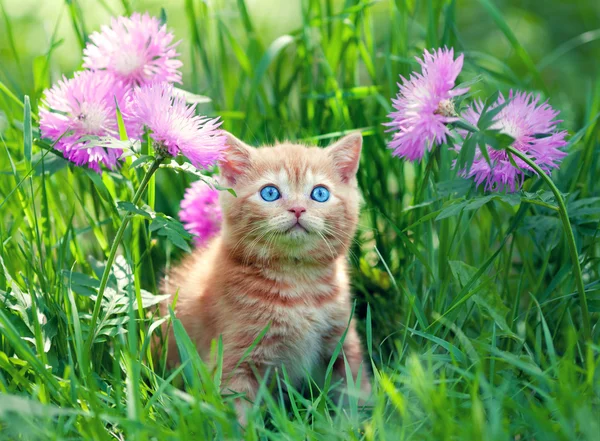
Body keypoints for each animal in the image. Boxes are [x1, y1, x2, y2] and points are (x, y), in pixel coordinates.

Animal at [162, 132, 372, 422]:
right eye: (270, 193)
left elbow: (355, 390)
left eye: (320, 193)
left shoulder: (342, 341)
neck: (298, 282)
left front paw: (359, 423)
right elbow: (237, 414)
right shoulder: (235, 358)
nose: (297, 209)